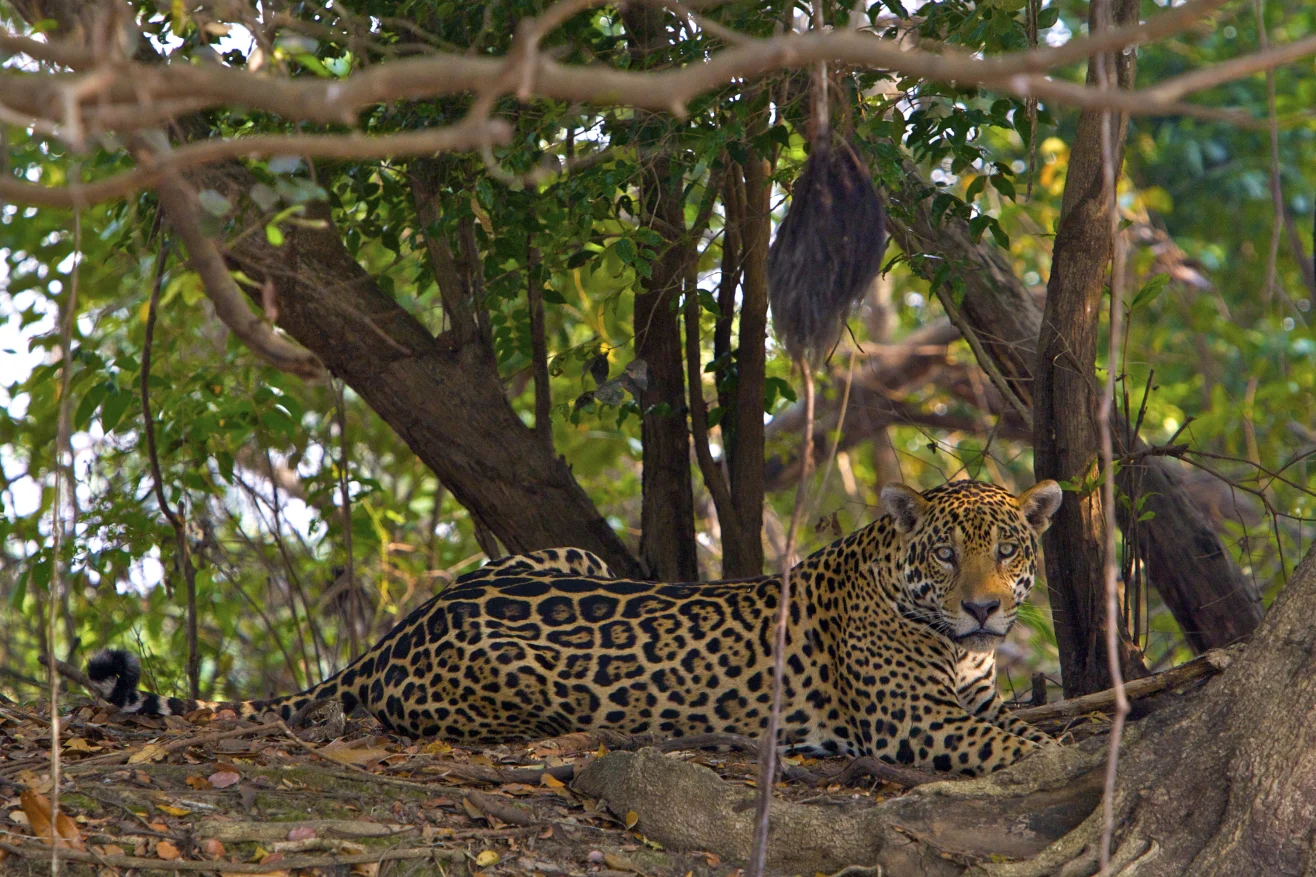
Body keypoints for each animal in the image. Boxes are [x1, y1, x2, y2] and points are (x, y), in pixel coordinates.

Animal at [88, 479, 1062, 776]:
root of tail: (402, 629)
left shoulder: (971, 699)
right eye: (945, 553)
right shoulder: (914, 721)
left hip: (568, 554)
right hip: (521, 690)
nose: (983, 605)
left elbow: (1018, 720)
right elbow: (1021, 744)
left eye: (1009, 548)